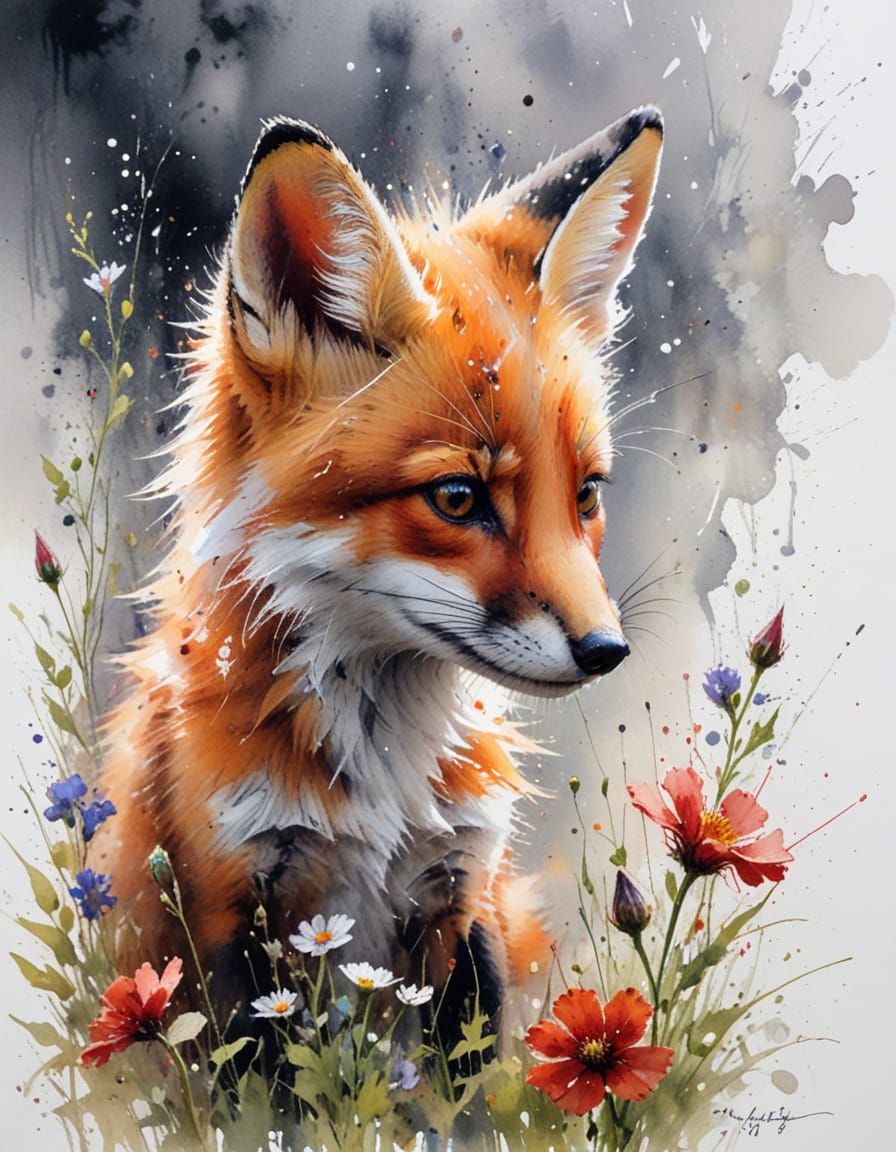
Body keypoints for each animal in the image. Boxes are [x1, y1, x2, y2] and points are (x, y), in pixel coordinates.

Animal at [94, 106, 663, 1046]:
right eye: (459, 497)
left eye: (584, 494)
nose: (607, 651)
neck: (382, 789)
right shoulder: (228, 917)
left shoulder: (461, 906)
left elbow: (472, 1082)